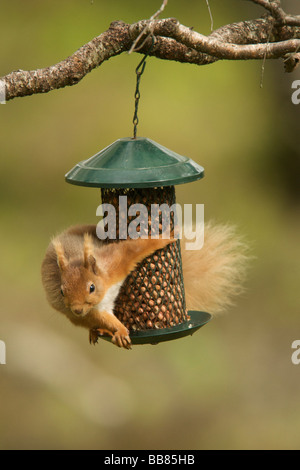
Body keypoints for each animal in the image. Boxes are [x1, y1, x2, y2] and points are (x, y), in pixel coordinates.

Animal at [41, 223, 248, 348]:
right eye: (61, 291)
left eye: (91, 287)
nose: (76, 310)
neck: (105, 288)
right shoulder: (94, 310)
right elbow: (106, 318)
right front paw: (120, 330)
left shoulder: (115, 264)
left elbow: (134, 248)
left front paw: (165, 236)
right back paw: (97, 330)